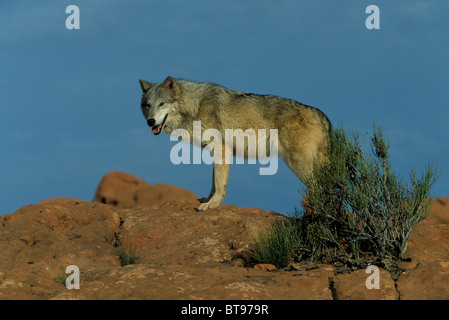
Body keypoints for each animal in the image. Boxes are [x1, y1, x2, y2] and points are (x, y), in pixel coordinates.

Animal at [138, 76, 330, 211]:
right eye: (147, 105)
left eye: (162, 103)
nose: (150, 121)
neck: (196, 107)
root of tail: (321, 115)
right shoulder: (217, 152)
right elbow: (214, 182)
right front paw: (208, 200)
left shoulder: (221, 149)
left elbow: (219, 183)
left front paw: (212, 205)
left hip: (298, 164)